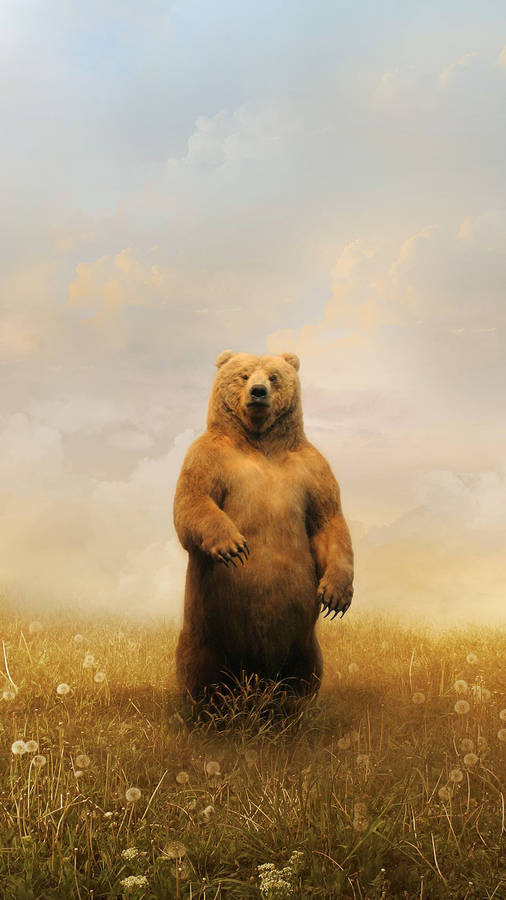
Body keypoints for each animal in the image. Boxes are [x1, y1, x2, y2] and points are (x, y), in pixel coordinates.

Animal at [173, 350, 353, 704]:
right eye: (243, 375)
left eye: (273, 376)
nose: (258, 392)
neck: (259, 441)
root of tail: (255, 678)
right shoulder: (208, 457)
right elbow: (192, 501)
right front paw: (233, 546)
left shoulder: (312, 469)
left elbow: (328, 520)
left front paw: (336, 596)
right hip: (205, 632)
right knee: (200, 672)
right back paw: (207, 709)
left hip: (303, 642)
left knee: (304, 674)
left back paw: (291, 707)